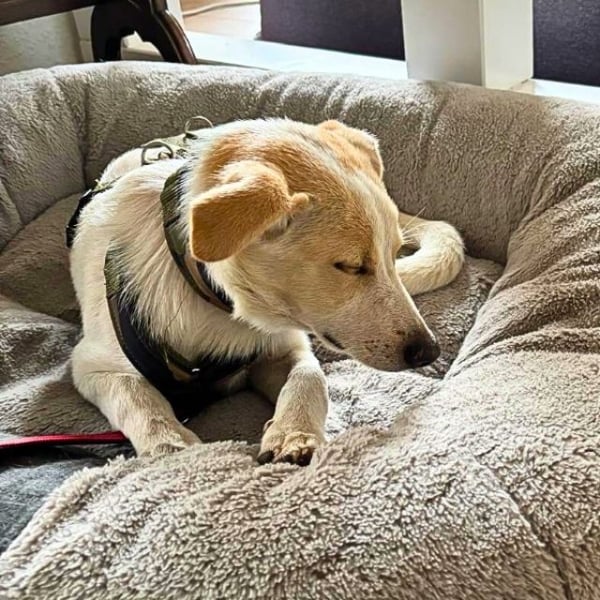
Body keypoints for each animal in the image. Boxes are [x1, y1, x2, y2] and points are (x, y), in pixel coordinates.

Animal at [69, 118, 464, 464]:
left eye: (395, 255)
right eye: (351, 266)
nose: (429, 351)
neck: (219, 303)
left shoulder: (285, 344)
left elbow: (310, 378)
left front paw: (295, 433)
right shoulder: (91, 365)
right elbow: (137, 396)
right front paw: (170, 443)